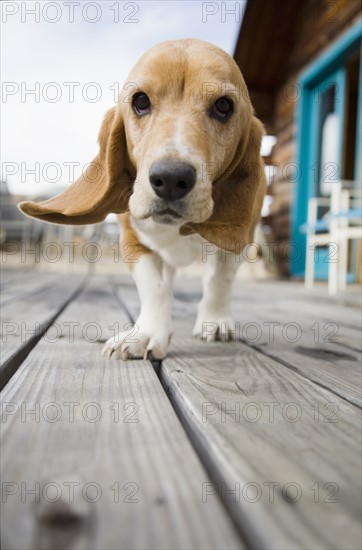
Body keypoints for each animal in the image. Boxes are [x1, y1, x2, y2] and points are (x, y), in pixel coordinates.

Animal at [18, 42, 266, 362]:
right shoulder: (132, 241)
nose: (171, 178)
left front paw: (214, 321)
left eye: (224, 106)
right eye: (140, 101)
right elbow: (154, 286)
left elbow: (218, 281)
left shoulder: (238, 241)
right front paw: (146, 333)